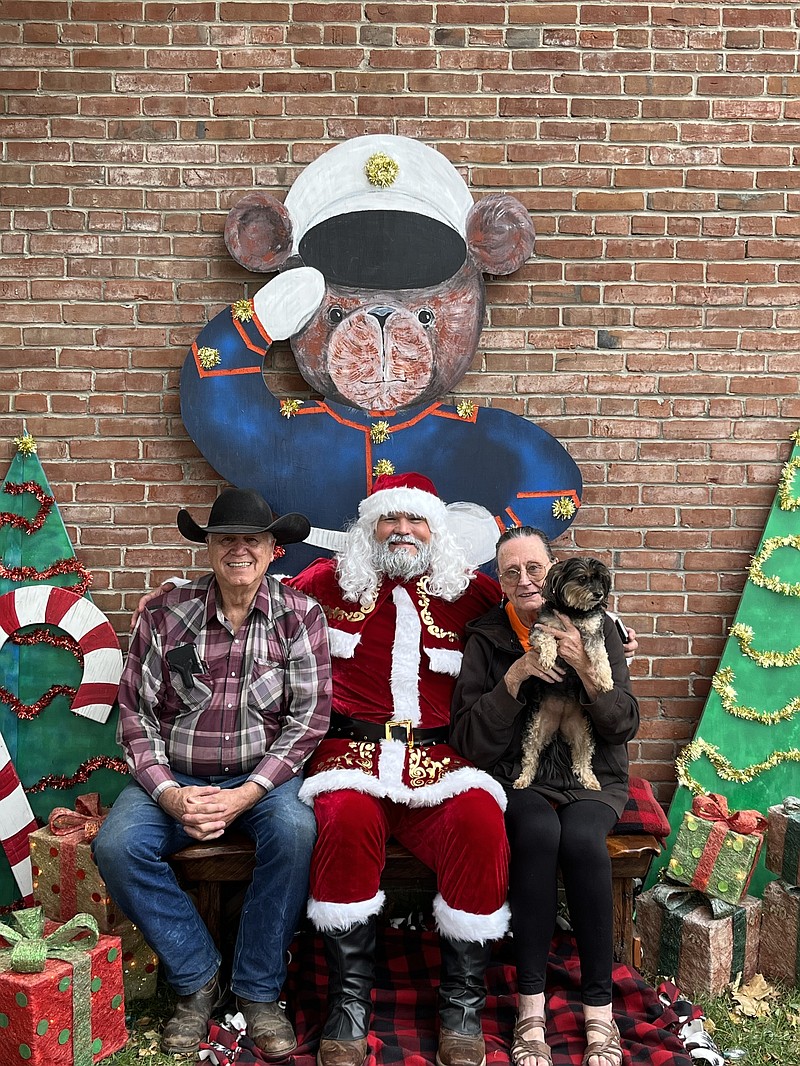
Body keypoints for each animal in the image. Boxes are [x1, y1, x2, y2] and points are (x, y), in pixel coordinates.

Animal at [516, 558, 618, 793]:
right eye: (582, 578)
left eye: (600, 579)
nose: (599, 594)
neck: (574, 612)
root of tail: (559, 725)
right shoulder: (542, 627)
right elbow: (547, 640)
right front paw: (547, 658)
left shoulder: (593, 633)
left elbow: (601, 655)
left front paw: (605, 679)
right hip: (535, 731)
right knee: (530, 759)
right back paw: (523, 779)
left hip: (583, 735)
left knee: (582, 762)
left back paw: (590, 781)